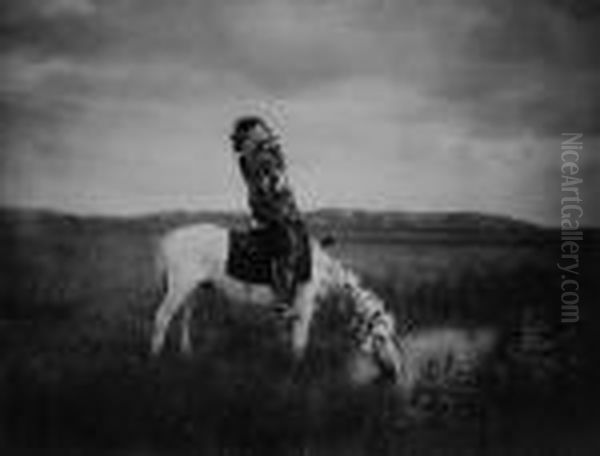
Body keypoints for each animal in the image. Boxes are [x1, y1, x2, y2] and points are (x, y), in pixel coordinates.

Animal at [149, 223, 408, 386]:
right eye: (381, 337)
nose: (395, 375)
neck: (323, 271)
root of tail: (167, 239)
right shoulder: (304, 310)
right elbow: (299, 346)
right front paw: (295, 377)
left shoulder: (290, 313)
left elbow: (288, 342)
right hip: (179, 288)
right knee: (162, 319)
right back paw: (155, 360)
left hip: (192, 290)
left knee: (184, 318)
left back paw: (186, 355)